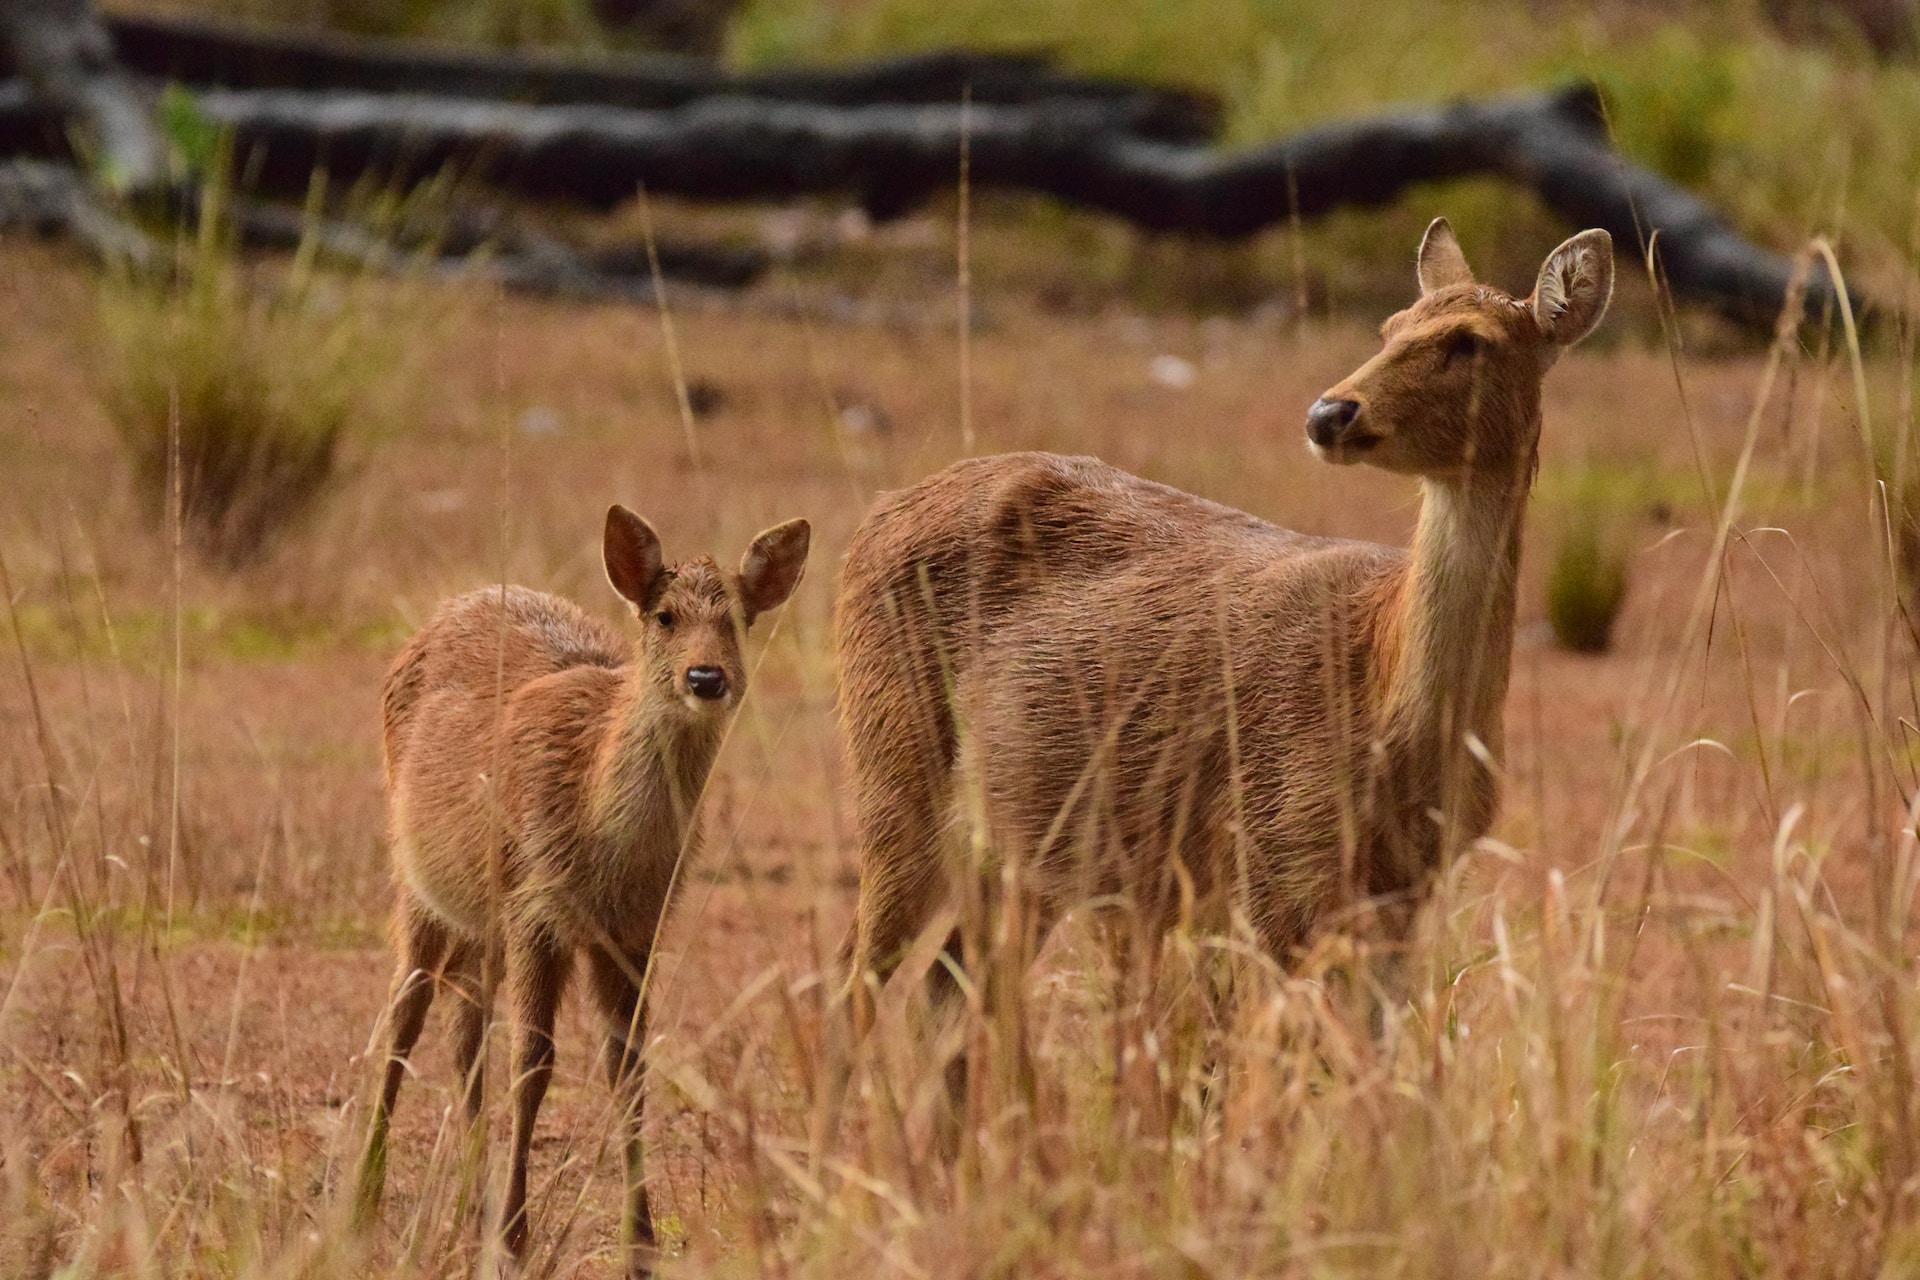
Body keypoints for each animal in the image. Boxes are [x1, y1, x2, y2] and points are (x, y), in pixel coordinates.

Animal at [355, 506, 810, 1274]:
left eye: (739, 618)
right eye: (663, 615)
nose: (706, 676)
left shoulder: (634, 927)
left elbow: (627, 1068)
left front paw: (640, 1244)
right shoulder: (537, 907)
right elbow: (533, 1064)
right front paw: (516, 1239)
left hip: (480, 920)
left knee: (463, 1030)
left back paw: (467, 1210)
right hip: (419, 883)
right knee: (406, 1011)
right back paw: (365, 1201)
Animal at [837, 217, 1605, 1059]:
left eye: (1469, 342)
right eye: (1390, 326)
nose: (1331, 413)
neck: (1390, 705)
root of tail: (871, 517)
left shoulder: (1402, 892)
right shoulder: (1270, 857)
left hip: (1017, 842)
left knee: (950, 991)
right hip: (893, 768)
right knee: (855, 975)